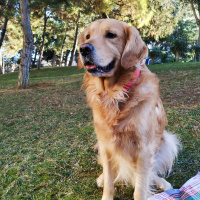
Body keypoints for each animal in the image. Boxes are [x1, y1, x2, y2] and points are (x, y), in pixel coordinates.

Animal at [77, 18, 180, 200]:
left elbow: (140, 188)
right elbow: (109, 182)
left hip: (167, 141)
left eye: (111, 35)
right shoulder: (105, 145)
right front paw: (106, 188)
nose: (83, 48)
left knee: (151, 172)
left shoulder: (144, 150)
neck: (114, 95)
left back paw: (162, 182)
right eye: (87, 36)